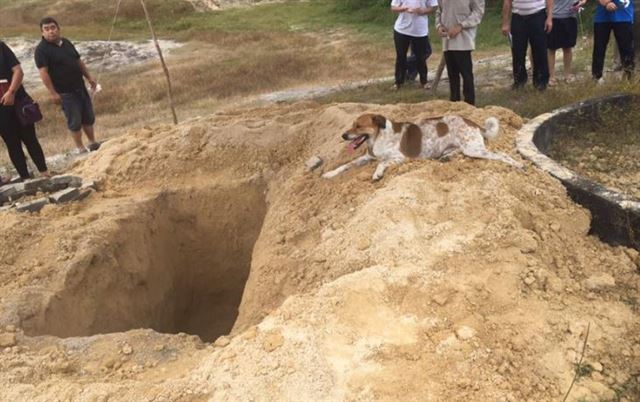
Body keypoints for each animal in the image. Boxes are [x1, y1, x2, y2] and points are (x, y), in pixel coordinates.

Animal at [322, 114, 524, 181]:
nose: (343, 135)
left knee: (502, 155)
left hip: (473, 149)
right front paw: (329, 173)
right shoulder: (368, 157)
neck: (378, 137)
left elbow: (382, 163)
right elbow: (345, 165)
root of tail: (474, 124)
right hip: (463, 148)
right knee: (455, 151)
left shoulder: (399, 158)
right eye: (352, 125)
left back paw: (518, 165)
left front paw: (377, 174)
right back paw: (446, 157)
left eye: (358, 126)